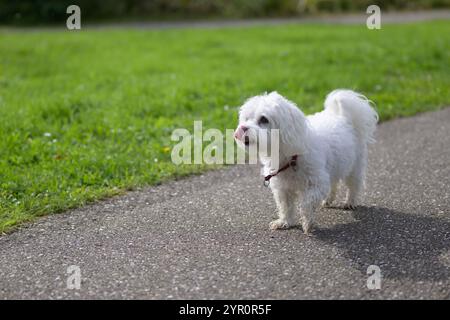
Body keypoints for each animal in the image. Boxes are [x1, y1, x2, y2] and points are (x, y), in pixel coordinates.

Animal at [234, 89, 378, 234]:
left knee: (354, 184)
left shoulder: (317, 184)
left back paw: (350, 202)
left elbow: (306, 203)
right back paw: (328, 200)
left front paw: (308, 223)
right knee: (334, 183)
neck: (290, 156)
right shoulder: (283, 188)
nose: (242, 128)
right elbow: (285, 206)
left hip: (354, 166)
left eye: (263, 119)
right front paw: (285, 222)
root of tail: (342, 116)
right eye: (246, 118)